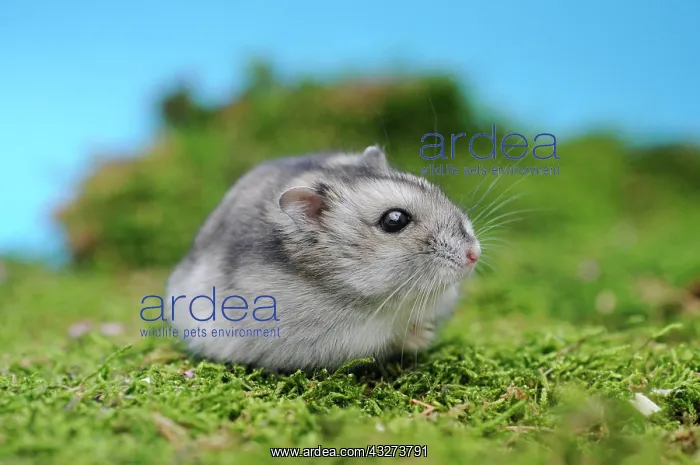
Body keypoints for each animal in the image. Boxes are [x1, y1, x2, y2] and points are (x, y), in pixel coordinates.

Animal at [164, 146, 481, 372]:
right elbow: (389, 338)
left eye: (433, 189)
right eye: (394, 220)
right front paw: (421, 336)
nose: (474, 255)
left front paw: (427, 331)